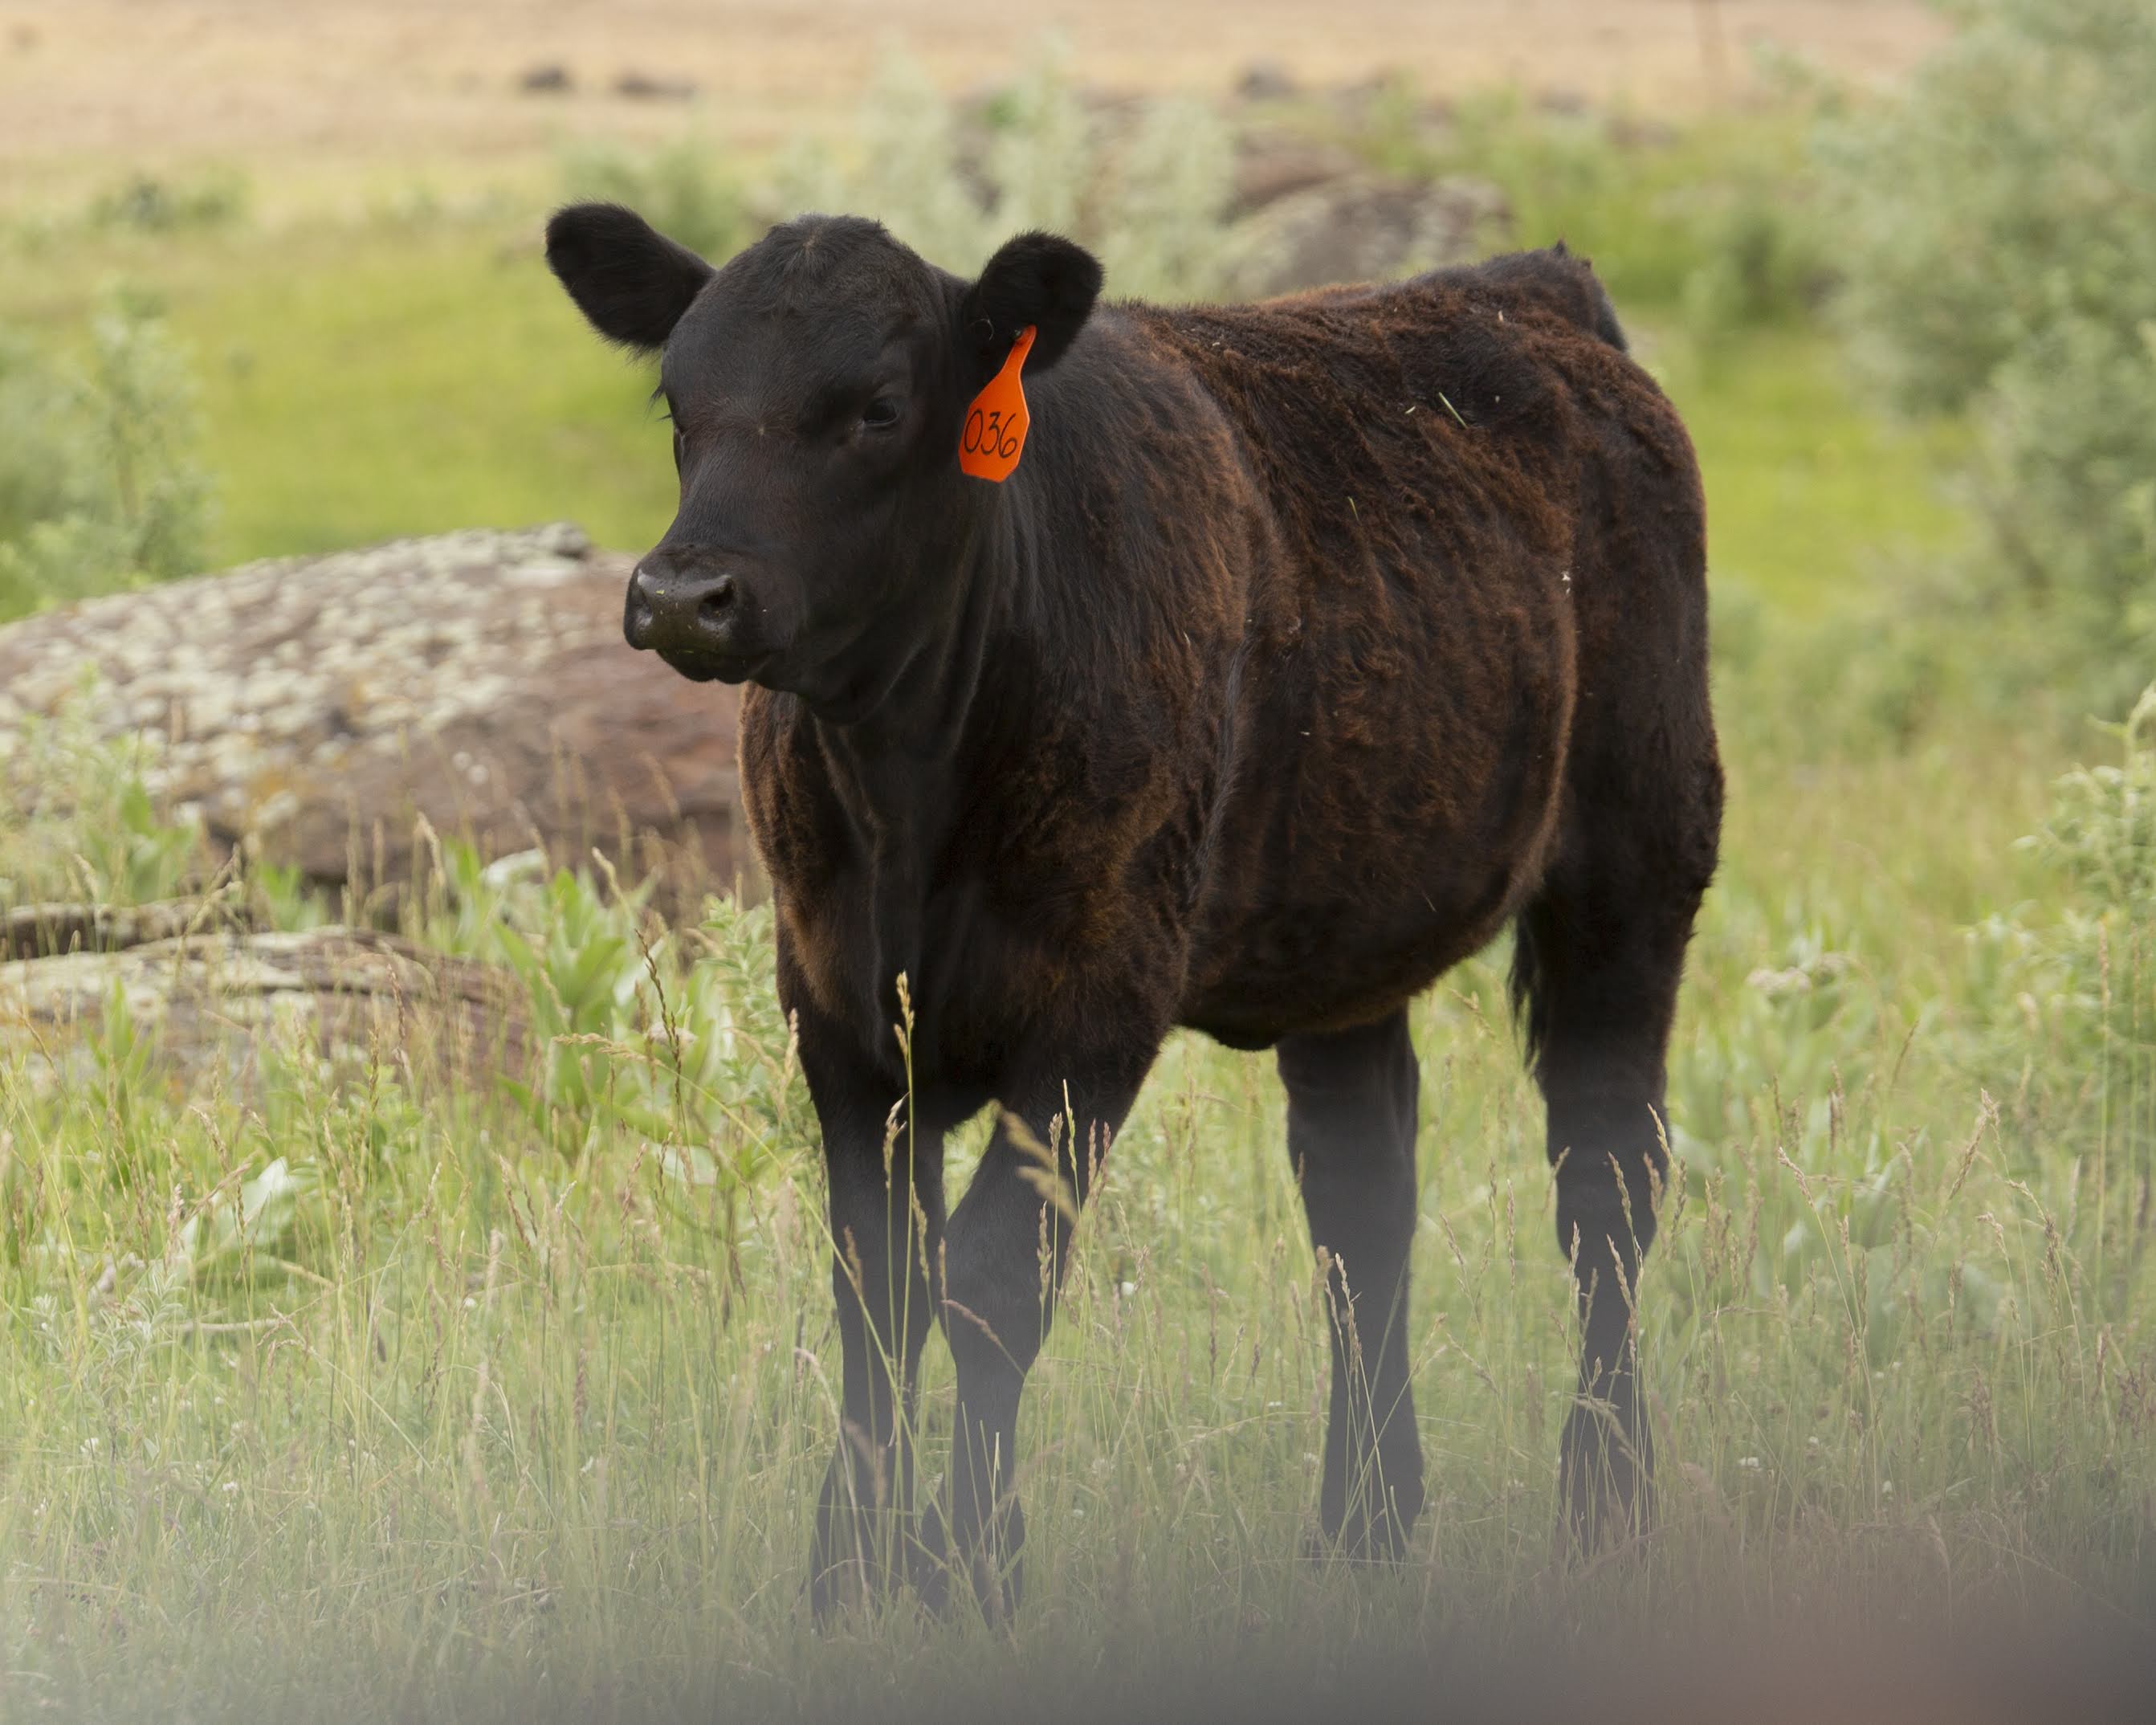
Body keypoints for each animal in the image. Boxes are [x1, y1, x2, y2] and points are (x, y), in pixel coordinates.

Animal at [545, 201, 1724, 1620]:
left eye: (878, 407)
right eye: (681, 402)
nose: (683, 595)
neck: (908, 788)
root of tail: (1525, 288)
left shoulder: (1094, 1005)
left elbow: (992, 1282)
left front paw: (968, 1564)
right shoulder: (835, 1007)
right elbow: (876, 1287)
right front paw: (849, 1574)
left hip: (1637, 865)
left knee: (1606, 1185)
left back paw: (1605, 1501)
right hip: (1346, 933)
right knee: (1362, 1203)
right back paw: (1366, 1520)